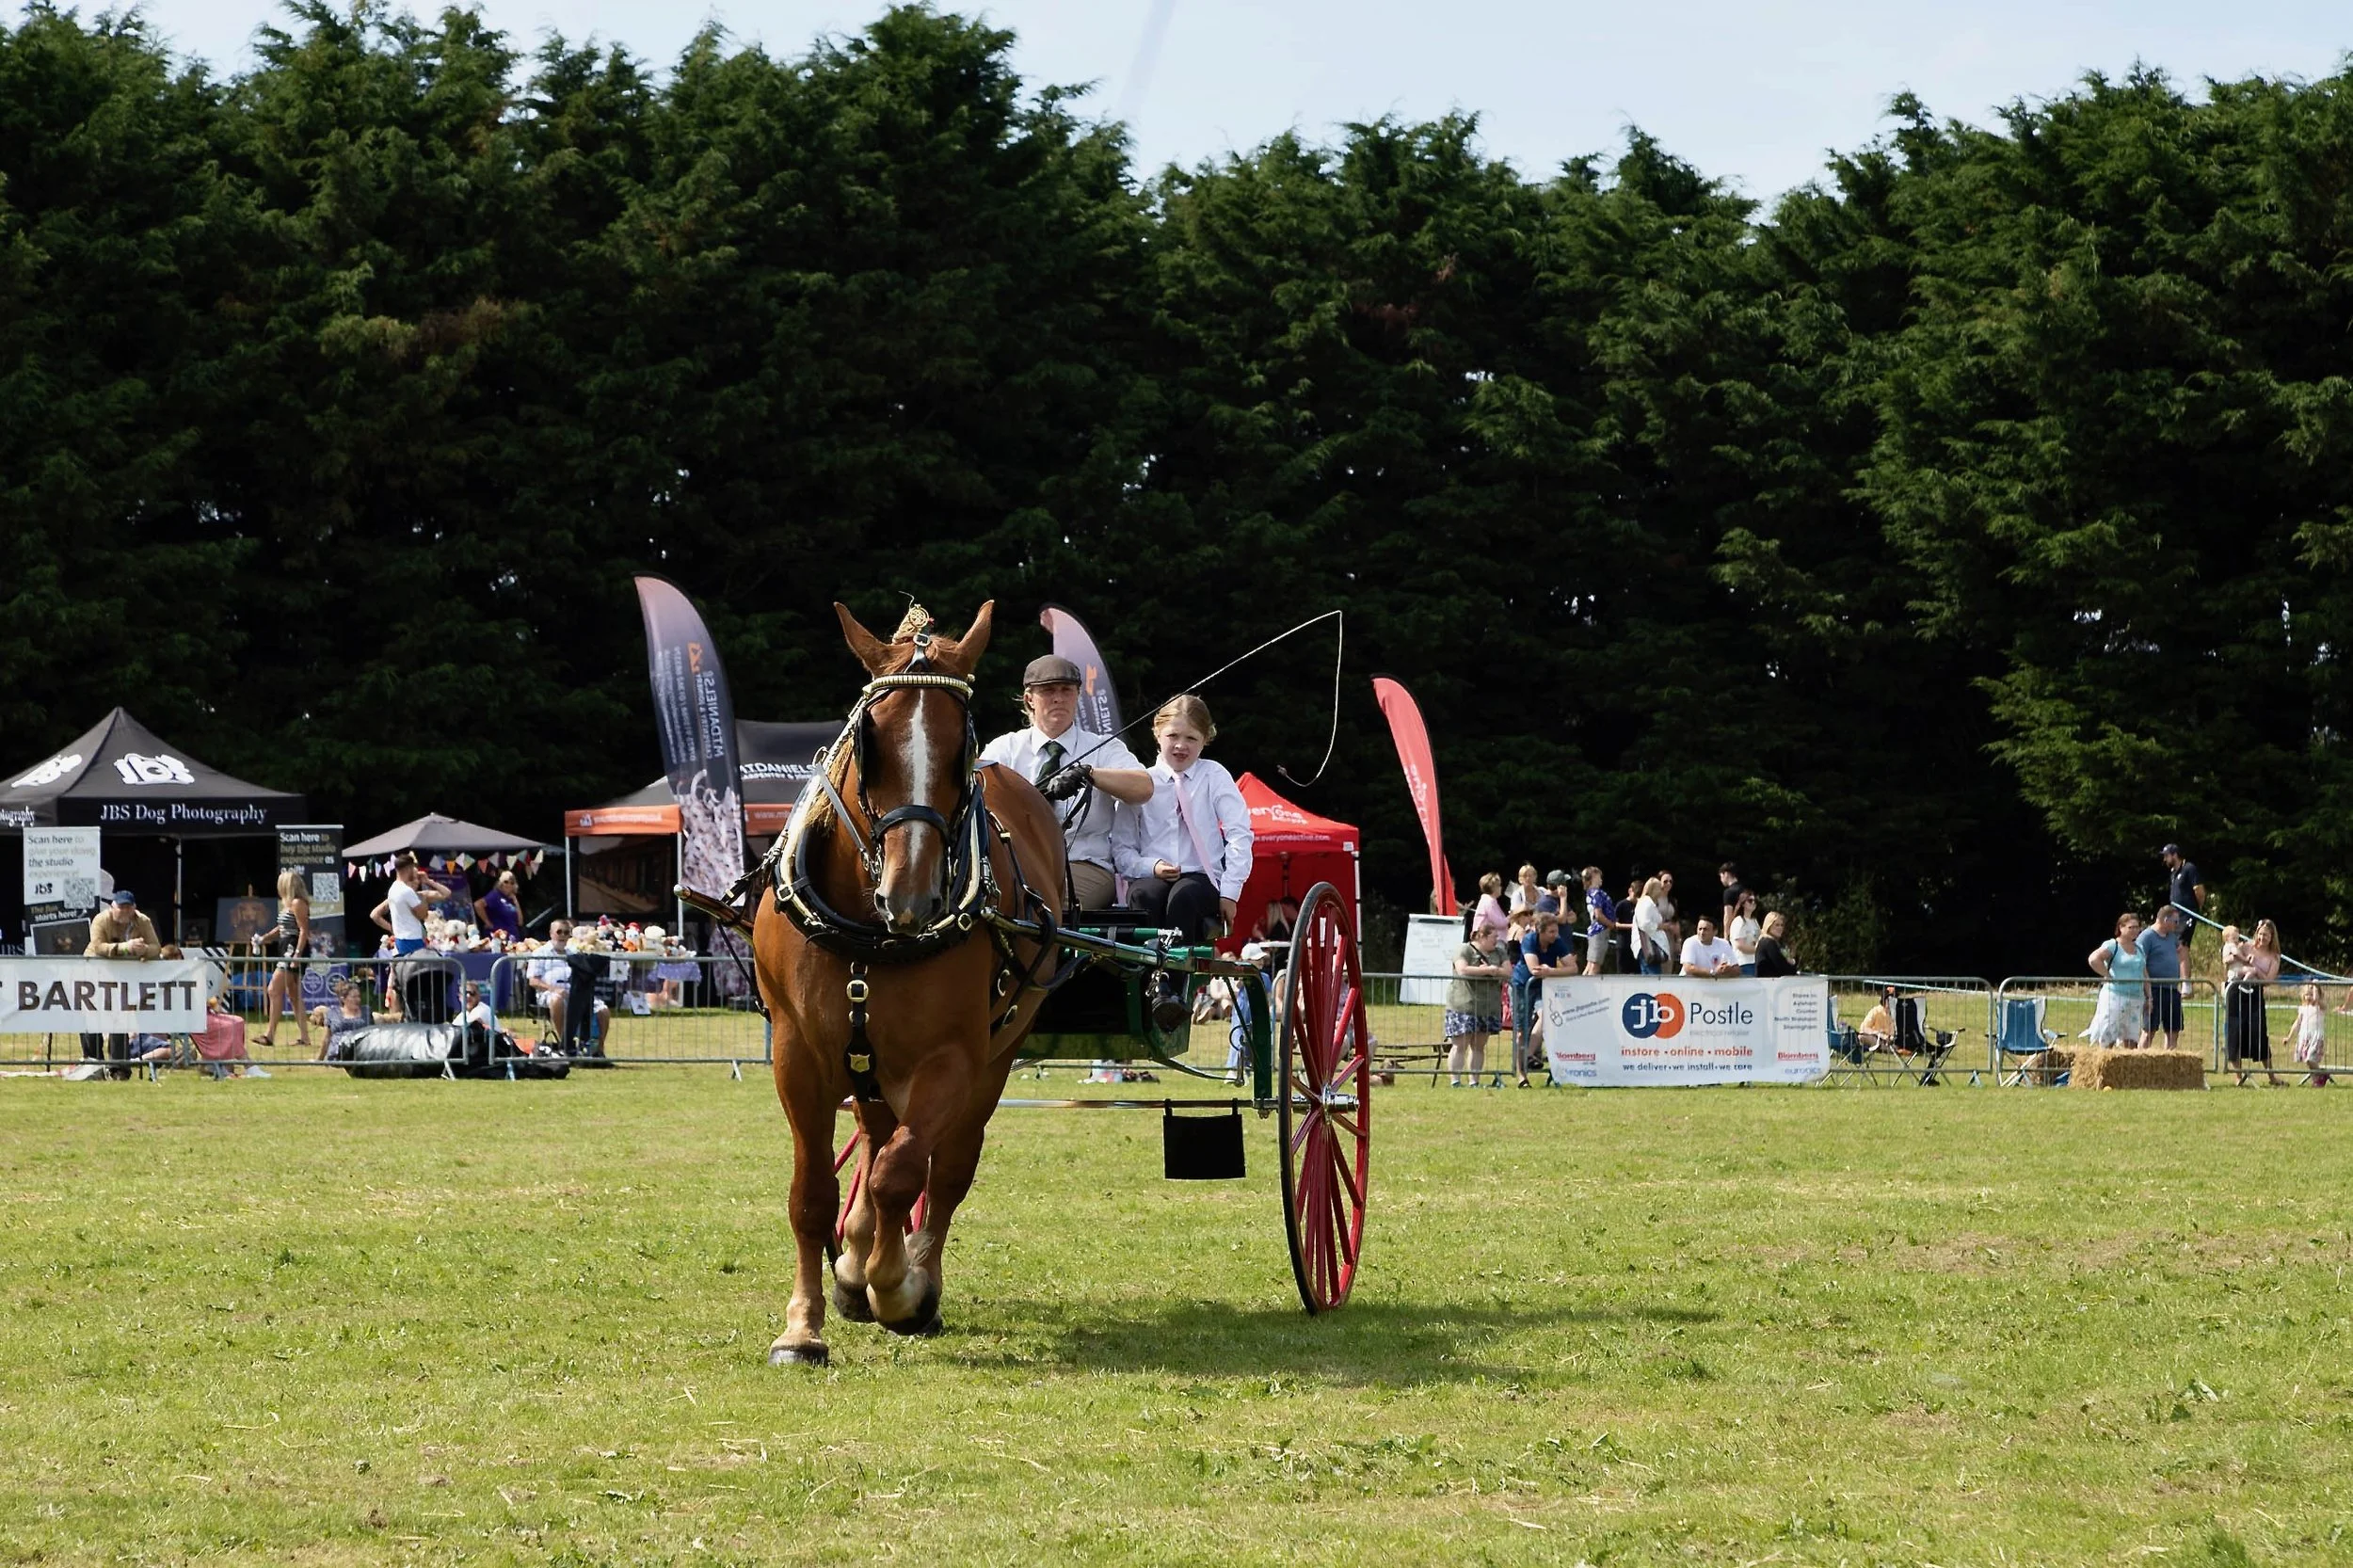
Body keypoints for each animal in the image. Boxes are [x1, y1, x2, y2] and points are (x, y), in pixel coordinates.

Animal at [752, 600, 1069, 1365]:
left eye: (962, 746)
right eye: (871, 739)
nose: (913, 895)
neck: (872, 927)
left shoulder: (951, 1058)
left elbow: (905, 1172)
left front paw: (897, 1286)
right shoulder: (797, 1054)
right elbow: (813, 1192)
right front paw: (804, 1324)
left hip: (998, 1050)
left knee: (943, 1165)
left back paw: (904, 1269)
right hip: (866, 1054)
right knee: (873, 1135)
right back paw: (854, 1258)